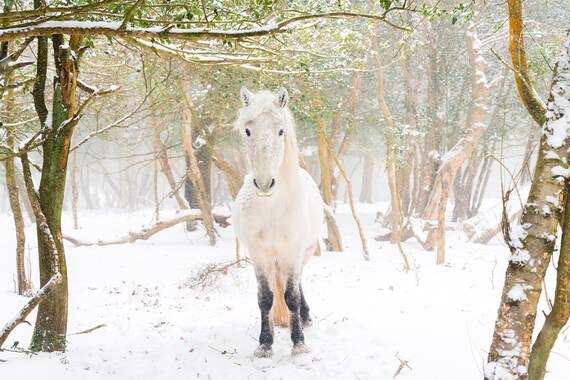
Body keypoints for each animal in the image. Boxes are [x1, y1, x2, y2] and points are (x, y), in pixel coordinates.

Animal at [231, 87, 320, 358]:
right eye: (248, 130)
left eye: (281, 131)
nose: (263, 184)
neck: (272, 207)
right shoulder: (258, 254)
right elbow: (266, 298)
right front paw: (265, 344)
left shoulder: (293, 251)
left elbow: (291, 295)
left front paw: (299, 343)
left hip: (304, 254)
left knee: (298, 284)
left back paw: (305, 317)